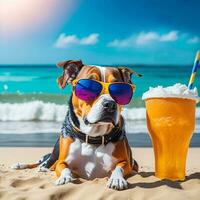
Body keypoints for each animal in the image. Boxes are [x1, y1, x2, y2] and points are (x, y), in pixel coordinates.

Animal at [12, 60, 141, 191]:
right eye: (89, 87)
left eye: (120, 90)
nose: (110, 104)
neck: (93, 138)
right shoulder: (61, 161)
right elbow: (64, 168)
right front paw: (65, 178)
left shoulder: (127, 162)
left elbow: (119, 168)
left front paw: (117, 179)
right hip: (53, 155)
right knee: (43, 162)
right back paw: (22, 165)